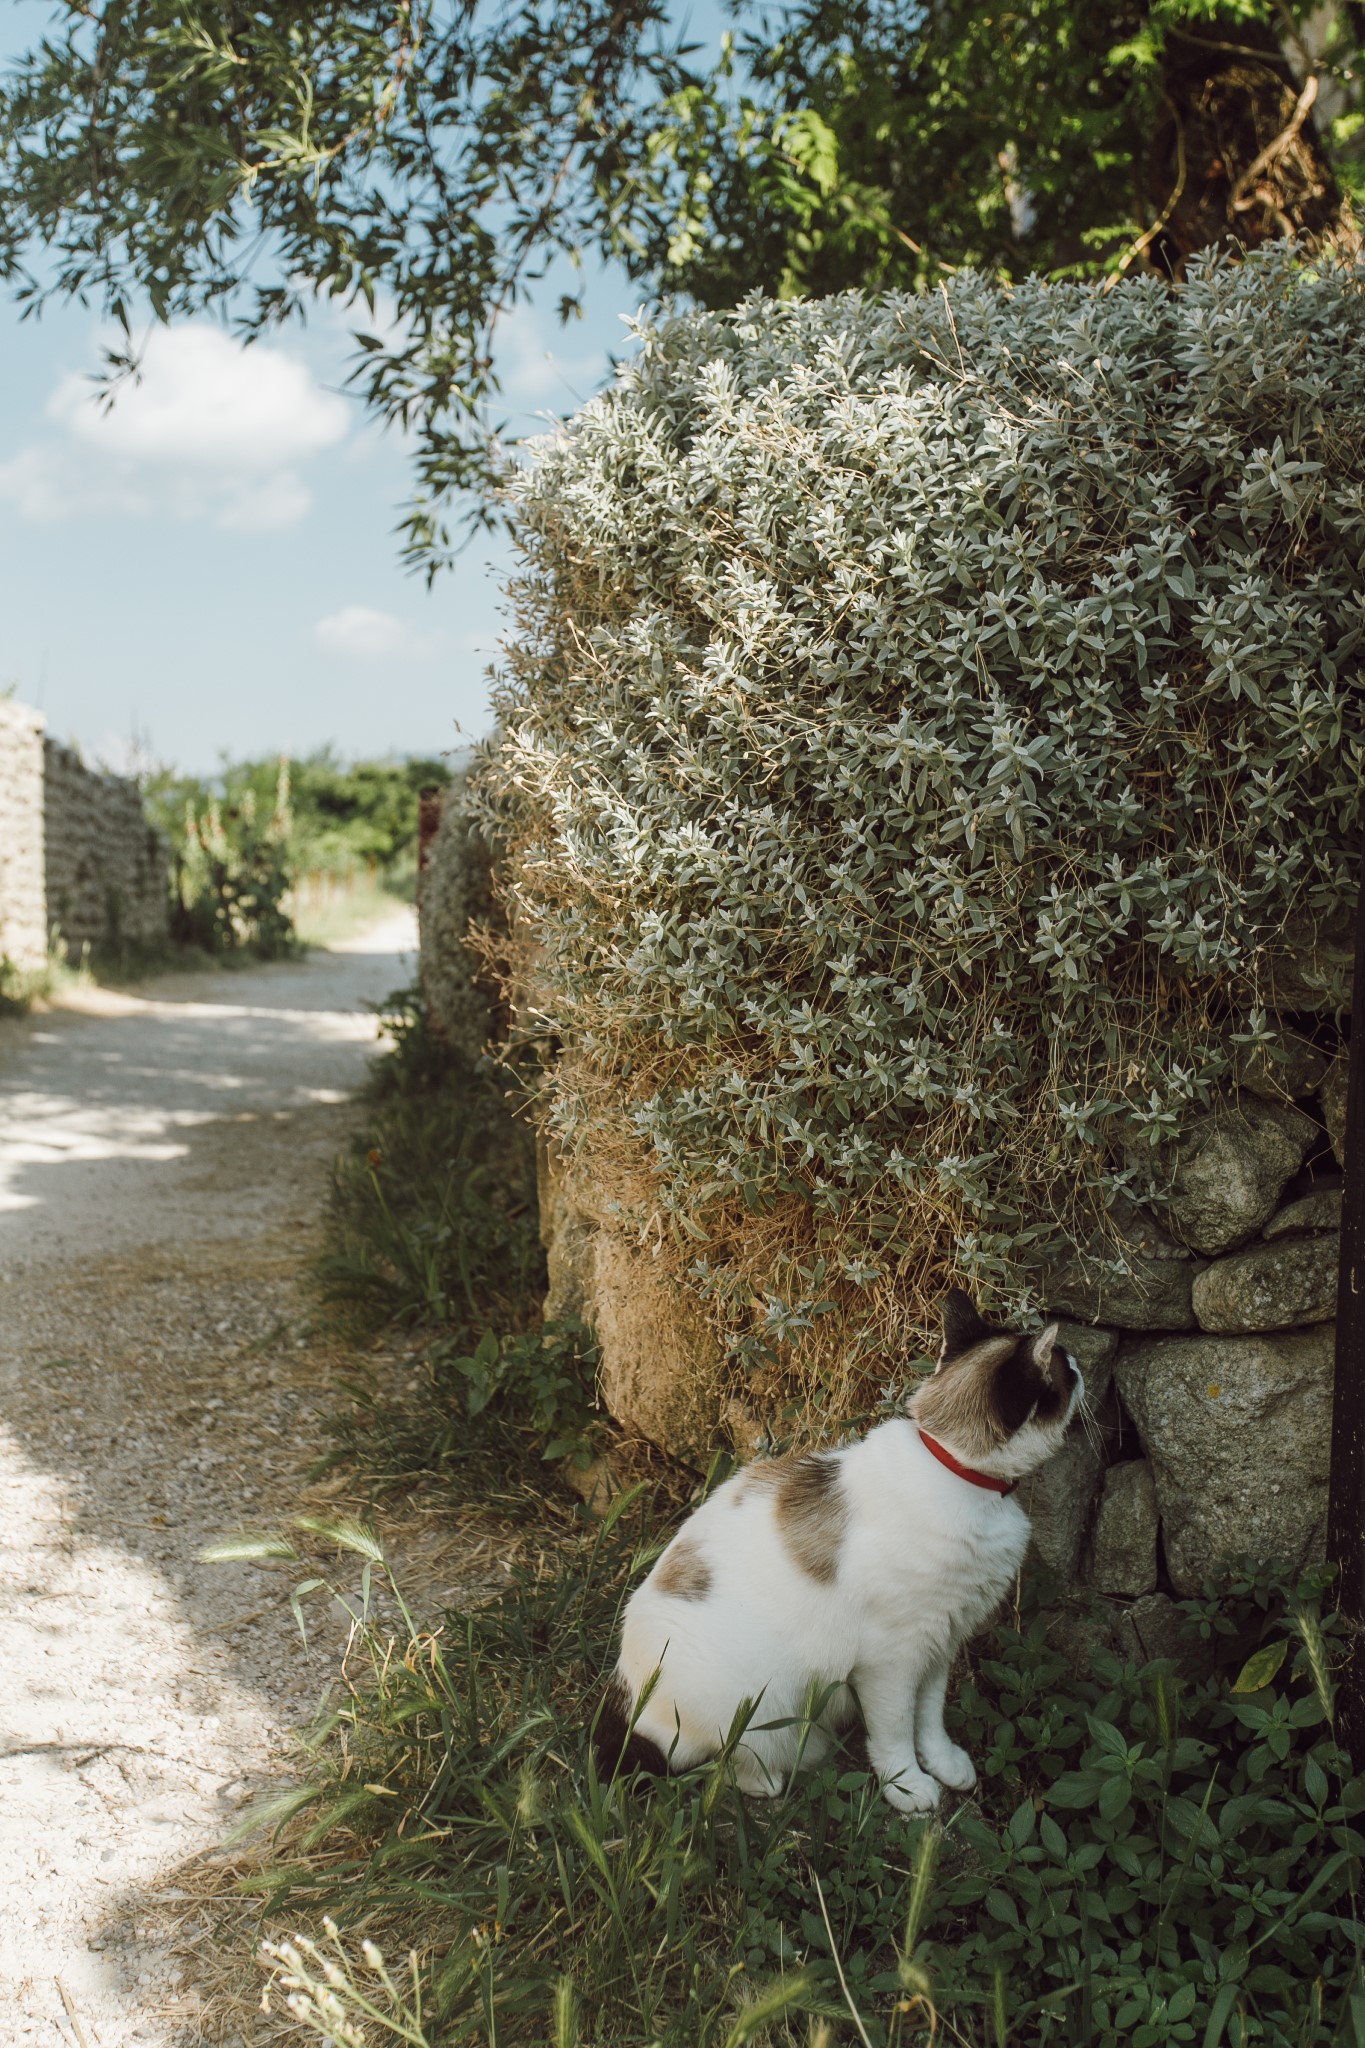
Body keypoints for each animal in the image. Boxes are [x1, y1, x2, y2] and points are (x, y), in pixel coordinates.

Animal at [593, 1286, 1080, 1818]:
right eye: (1065, 1368)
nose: (1077, 1358)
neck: (958, 1472)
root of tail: (631, 1698)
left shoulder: (940, 1644)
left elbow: (929, 1719)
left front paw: (946, 1765)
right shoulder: (891, 1662)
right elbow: (895, 1733)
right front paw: (908, 1787)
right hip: (754, 1705)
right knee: (729, 1758)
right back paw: (777, 1775)